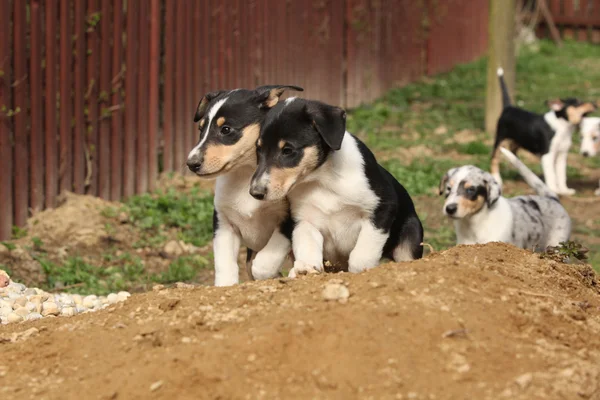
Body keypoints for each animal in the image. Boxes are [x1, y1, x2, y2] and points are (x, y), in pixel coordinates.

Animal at [186, 84, 302, 286]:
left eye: (226, 129)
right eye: (201, 129)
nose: (191, 164)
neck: (244, 176)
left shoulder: (287, 220)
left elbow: (262, 265)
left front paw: (273, 276)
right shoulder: (223, 224)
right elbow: (225, 264)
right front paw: (225, 286)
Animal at [440, 148, 572, 250]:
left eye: (471, 190)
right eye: (448, 189)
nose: (449, 209)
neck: (473, 224)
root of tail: (553, 199)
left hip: (557, 243)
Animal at [492, 67, 596, 195]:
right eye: (577, 103)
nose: (595, 104)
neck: (563, 127)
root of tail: (508, 107)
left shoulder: (562, 155)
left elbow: (561, 175)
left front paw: (564, 190)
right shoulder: (547, 155)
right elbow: (551, 175)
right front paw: (554, 190)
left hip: (517, 142)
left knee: (513, 154)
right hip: (500, 139)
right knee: (494, 158)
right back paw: (497, 178)